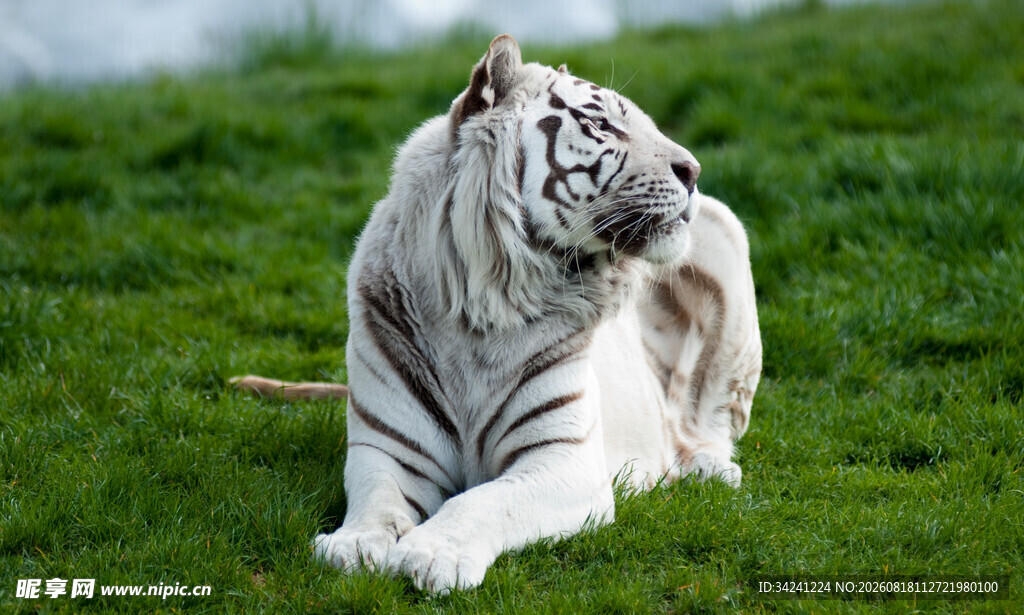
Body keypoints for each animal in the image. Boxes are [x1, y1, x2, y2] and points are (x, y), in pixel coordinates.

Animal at [232, 34, 761, 594]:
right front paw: (353, 545)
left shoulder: (565, 460)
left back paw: (707, 467)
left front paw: (432, 553)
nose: (694, 171)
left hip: (722, 230)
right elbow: (378, 501)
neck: (482, 310)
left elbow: (484, 500)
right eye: (600, 124)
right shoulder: (389, 451)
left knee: (711, 422)